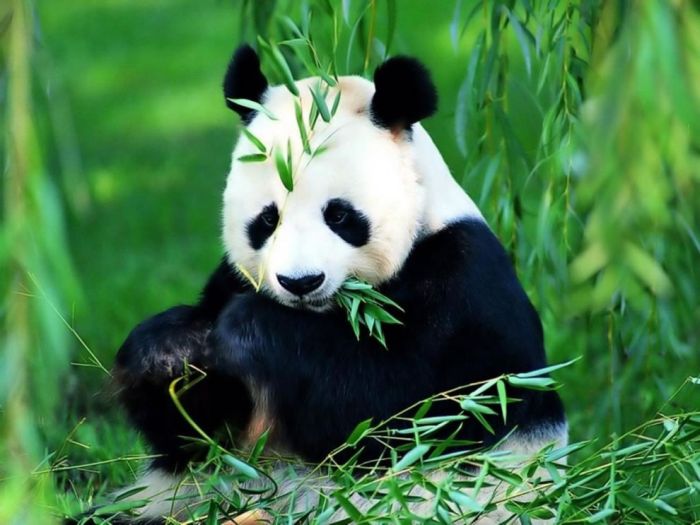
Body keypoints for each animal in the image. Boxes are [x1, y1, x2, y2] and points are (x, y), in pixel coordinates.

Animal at [68, 46, 568, 524]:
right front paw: (171, 350)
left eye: (340, 215)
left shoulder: (465, 287)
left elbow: (399, 408)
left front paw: (248, 328)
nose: (300, 282)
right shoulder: (230, 279)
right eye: (267, 219)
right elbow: (196, 435)